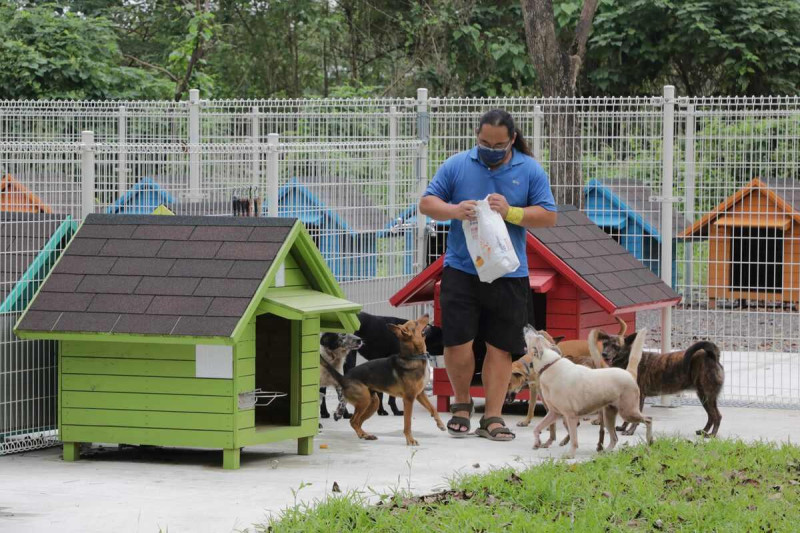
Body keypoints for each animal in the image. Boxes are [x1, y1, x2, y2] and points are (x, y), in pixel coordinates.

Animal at [318, 312, 444, 444]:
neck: (413, 357)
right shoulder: (409, 399)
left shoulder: (420, 394)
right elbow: (407, 422)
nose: (427, 314)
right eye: (416, 323)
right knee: (353, 421)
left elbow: (433, 409)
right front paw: (410, 440)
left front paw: (440, 424)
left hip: (373, 403)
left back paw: (365, 434)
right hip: (364, 399)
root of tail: (343, 378)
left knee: (357, 422)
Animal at [524, 324, 648, 458]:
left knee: (648, 420)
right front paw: (537, 443)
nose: (527, 325)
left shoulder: (570, 416)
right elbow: (537, 428)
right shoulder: (554, 413)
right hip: (609, 415)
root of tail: (629, 373)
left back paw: (649, 440)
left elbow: (574, 438)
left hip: (628, 412)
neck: (549, 364)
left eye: (537, 336)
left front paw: (570, 455)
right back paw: (605, 452)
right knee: (614, 438)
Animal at [588, 328, 724, 436]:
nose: (604, 354)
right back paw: (704, 431)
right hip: (704, 396)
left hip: (707, 395)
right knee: (711, 416)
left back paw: (712, 435)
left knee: (717, 416)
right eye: (605, 344)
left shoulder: (639, 397)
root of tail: (712, 356)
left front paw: (630, 431)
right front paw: (623, 427)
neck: (628, 360)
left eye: (616, 346)